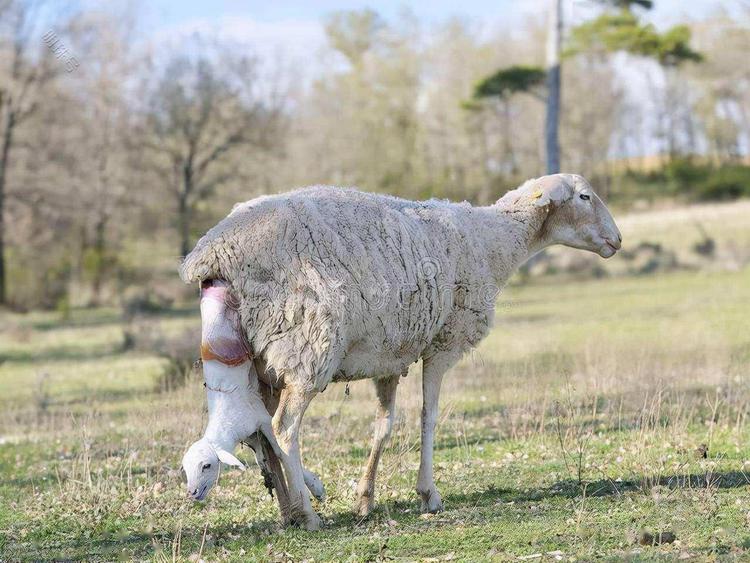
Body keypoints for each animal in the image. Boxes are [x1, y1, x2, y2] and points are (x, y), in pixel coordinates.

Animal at [179, 172, 620, 528]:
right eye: (584, 197)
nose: (617, 239)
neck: (490, 241)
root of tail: (212, 252)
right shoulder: (444, 342)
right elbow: (429, 416)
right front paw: (428, 493)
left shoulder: (390, 352)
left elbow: (384, 425)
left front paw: (365, 498)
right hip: (308, 347)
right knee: (284, 428)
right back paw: (307, 513)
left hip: (263, 359)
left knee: (261, 432)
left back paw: (288, 509)